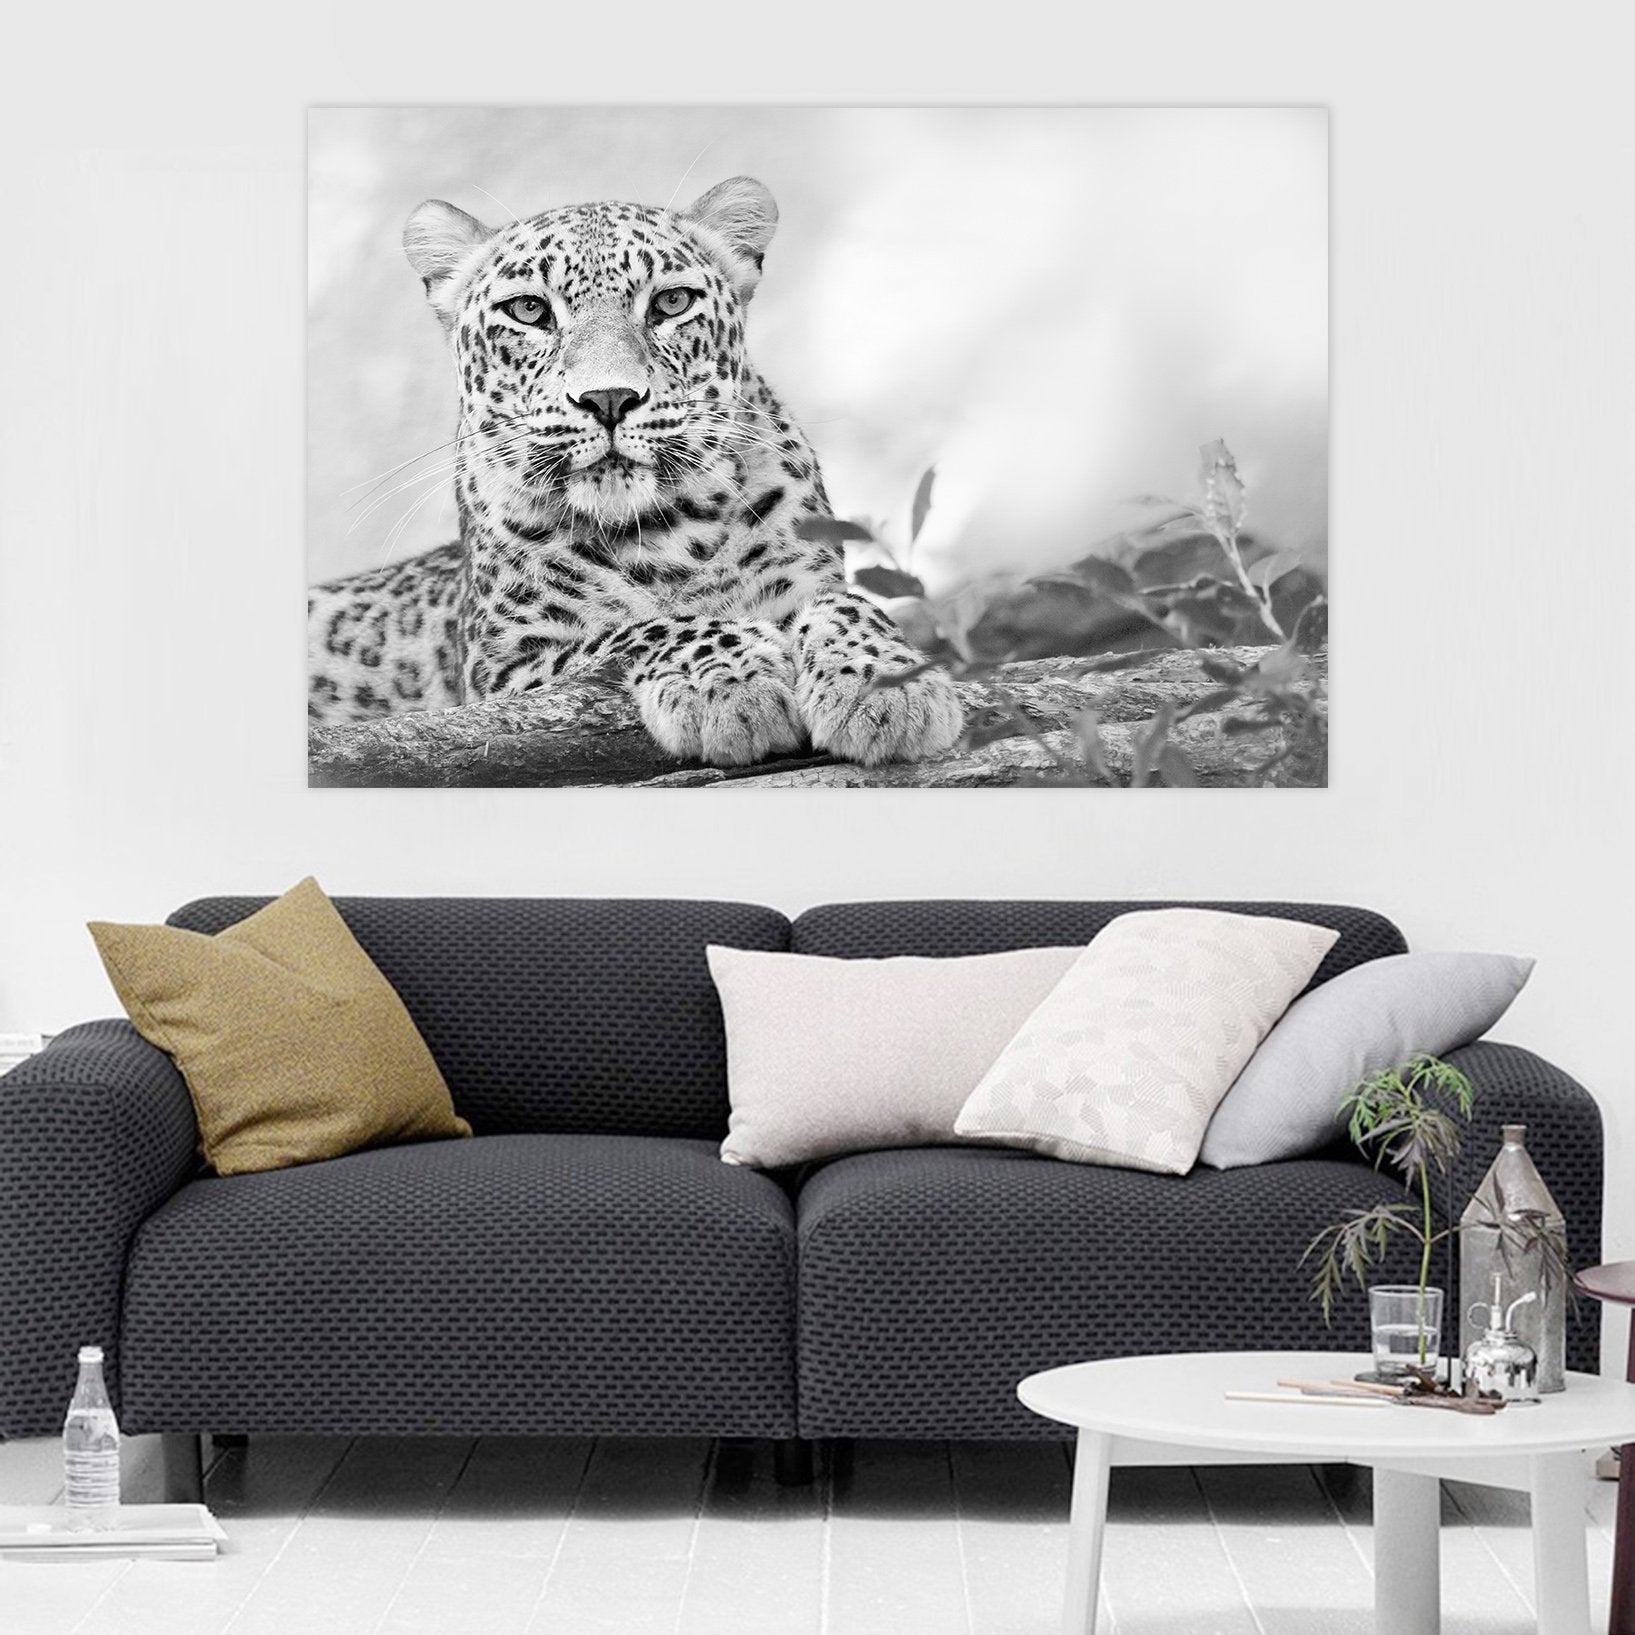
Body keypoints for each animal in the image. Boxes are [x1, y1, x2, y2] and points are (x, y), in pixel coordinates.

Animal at [306, 176, 963, 768]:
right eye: (529, 310)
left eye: (671, 303)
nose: (609, 398)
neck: (667, 534)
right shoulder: (501, 672)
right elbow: (638, 631)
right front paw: (730, 684)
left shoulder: (810, 577)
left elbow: (848, 605)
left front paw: (887, 686)